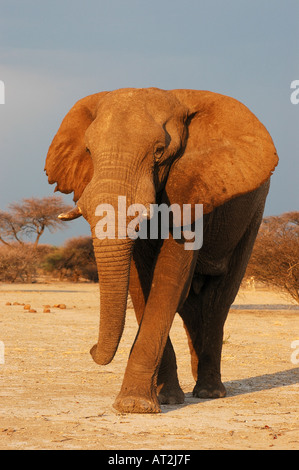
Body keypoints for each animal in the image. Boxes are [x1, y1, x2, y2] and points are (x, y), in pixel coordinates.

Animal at [44, 87, 278, 412]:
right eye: (89, 151)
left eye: (158, 152)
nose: (91, 349)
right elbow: (142, 283)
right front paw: (164, 398)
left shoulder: (193, 187)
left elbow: (168, 277)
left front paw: (134, 405)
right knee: (191, 305)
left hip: (253, 214)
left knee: (219, 299)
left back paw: (209, 392)